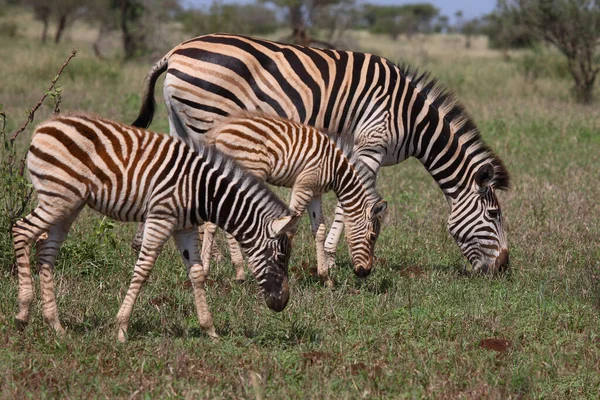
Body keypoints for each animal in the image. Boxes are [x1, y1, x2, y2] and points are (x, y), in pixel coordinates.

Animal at [11, 114, 298, 342]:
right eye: (281, 257)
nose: (282, 303)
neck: (204, 191)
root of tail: (45, 126)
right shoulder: (161, 216)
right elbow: (143, 269)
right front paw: (121, 328)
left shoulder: (184, 227)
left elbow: (196, 274)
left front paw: (210, 330)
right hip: (58, 198)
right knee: (21, 230)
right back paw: (23, 313)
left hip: (69, 204)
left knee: (46, 250)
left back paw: (55, 325)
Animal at [200, 113, 390, 284]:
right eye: (373, 236)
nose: (365, 272)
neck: (337, 169)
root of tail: (220, 130)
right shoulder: (303, 187)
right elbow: (290, 228)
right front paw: (284, 275)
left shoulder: (315, 192)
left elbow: (319, 229)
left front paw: (325, 277)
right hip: (249, 171)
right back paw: (236, 272)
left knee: (213, 222)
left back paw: (208, 270)